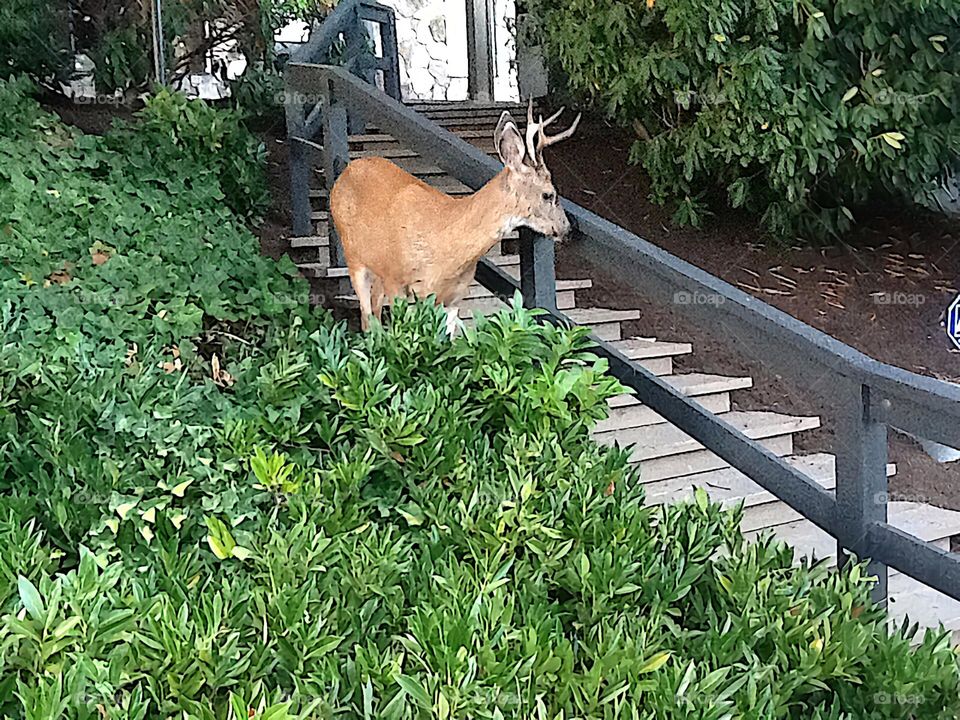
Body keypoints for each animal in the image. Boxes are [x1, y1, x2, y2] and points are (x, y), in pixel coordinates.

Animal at [328, 100, 581, 334]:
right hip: (354, 257)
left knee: (373, 313)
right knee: (368, 317)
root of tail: (346, 171)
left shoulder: (454, 297)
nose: (567, 229)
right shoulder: (399, 282)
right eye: (549, 194)